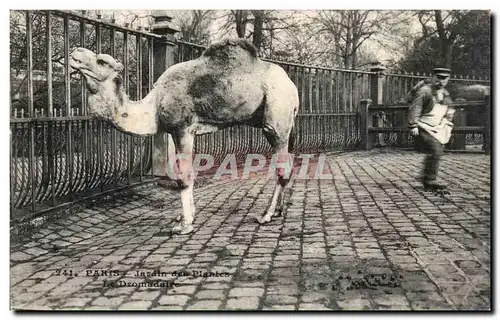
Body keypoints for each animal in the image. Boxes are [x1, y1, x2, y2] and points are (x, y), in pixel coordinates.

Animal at [68, 39, 298, 235]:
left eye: (102, 61)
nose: (75, 52)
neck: (153, 105)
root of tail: (293, 88)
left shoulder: (183, 128)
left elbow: (184, 175)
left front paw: (185, 225)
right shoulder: (173, 131)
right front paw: (188, 216)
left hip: (276, 115)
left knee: (281, 165)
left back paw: (266, 215)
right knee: (287, 164)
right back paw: (278, 210)